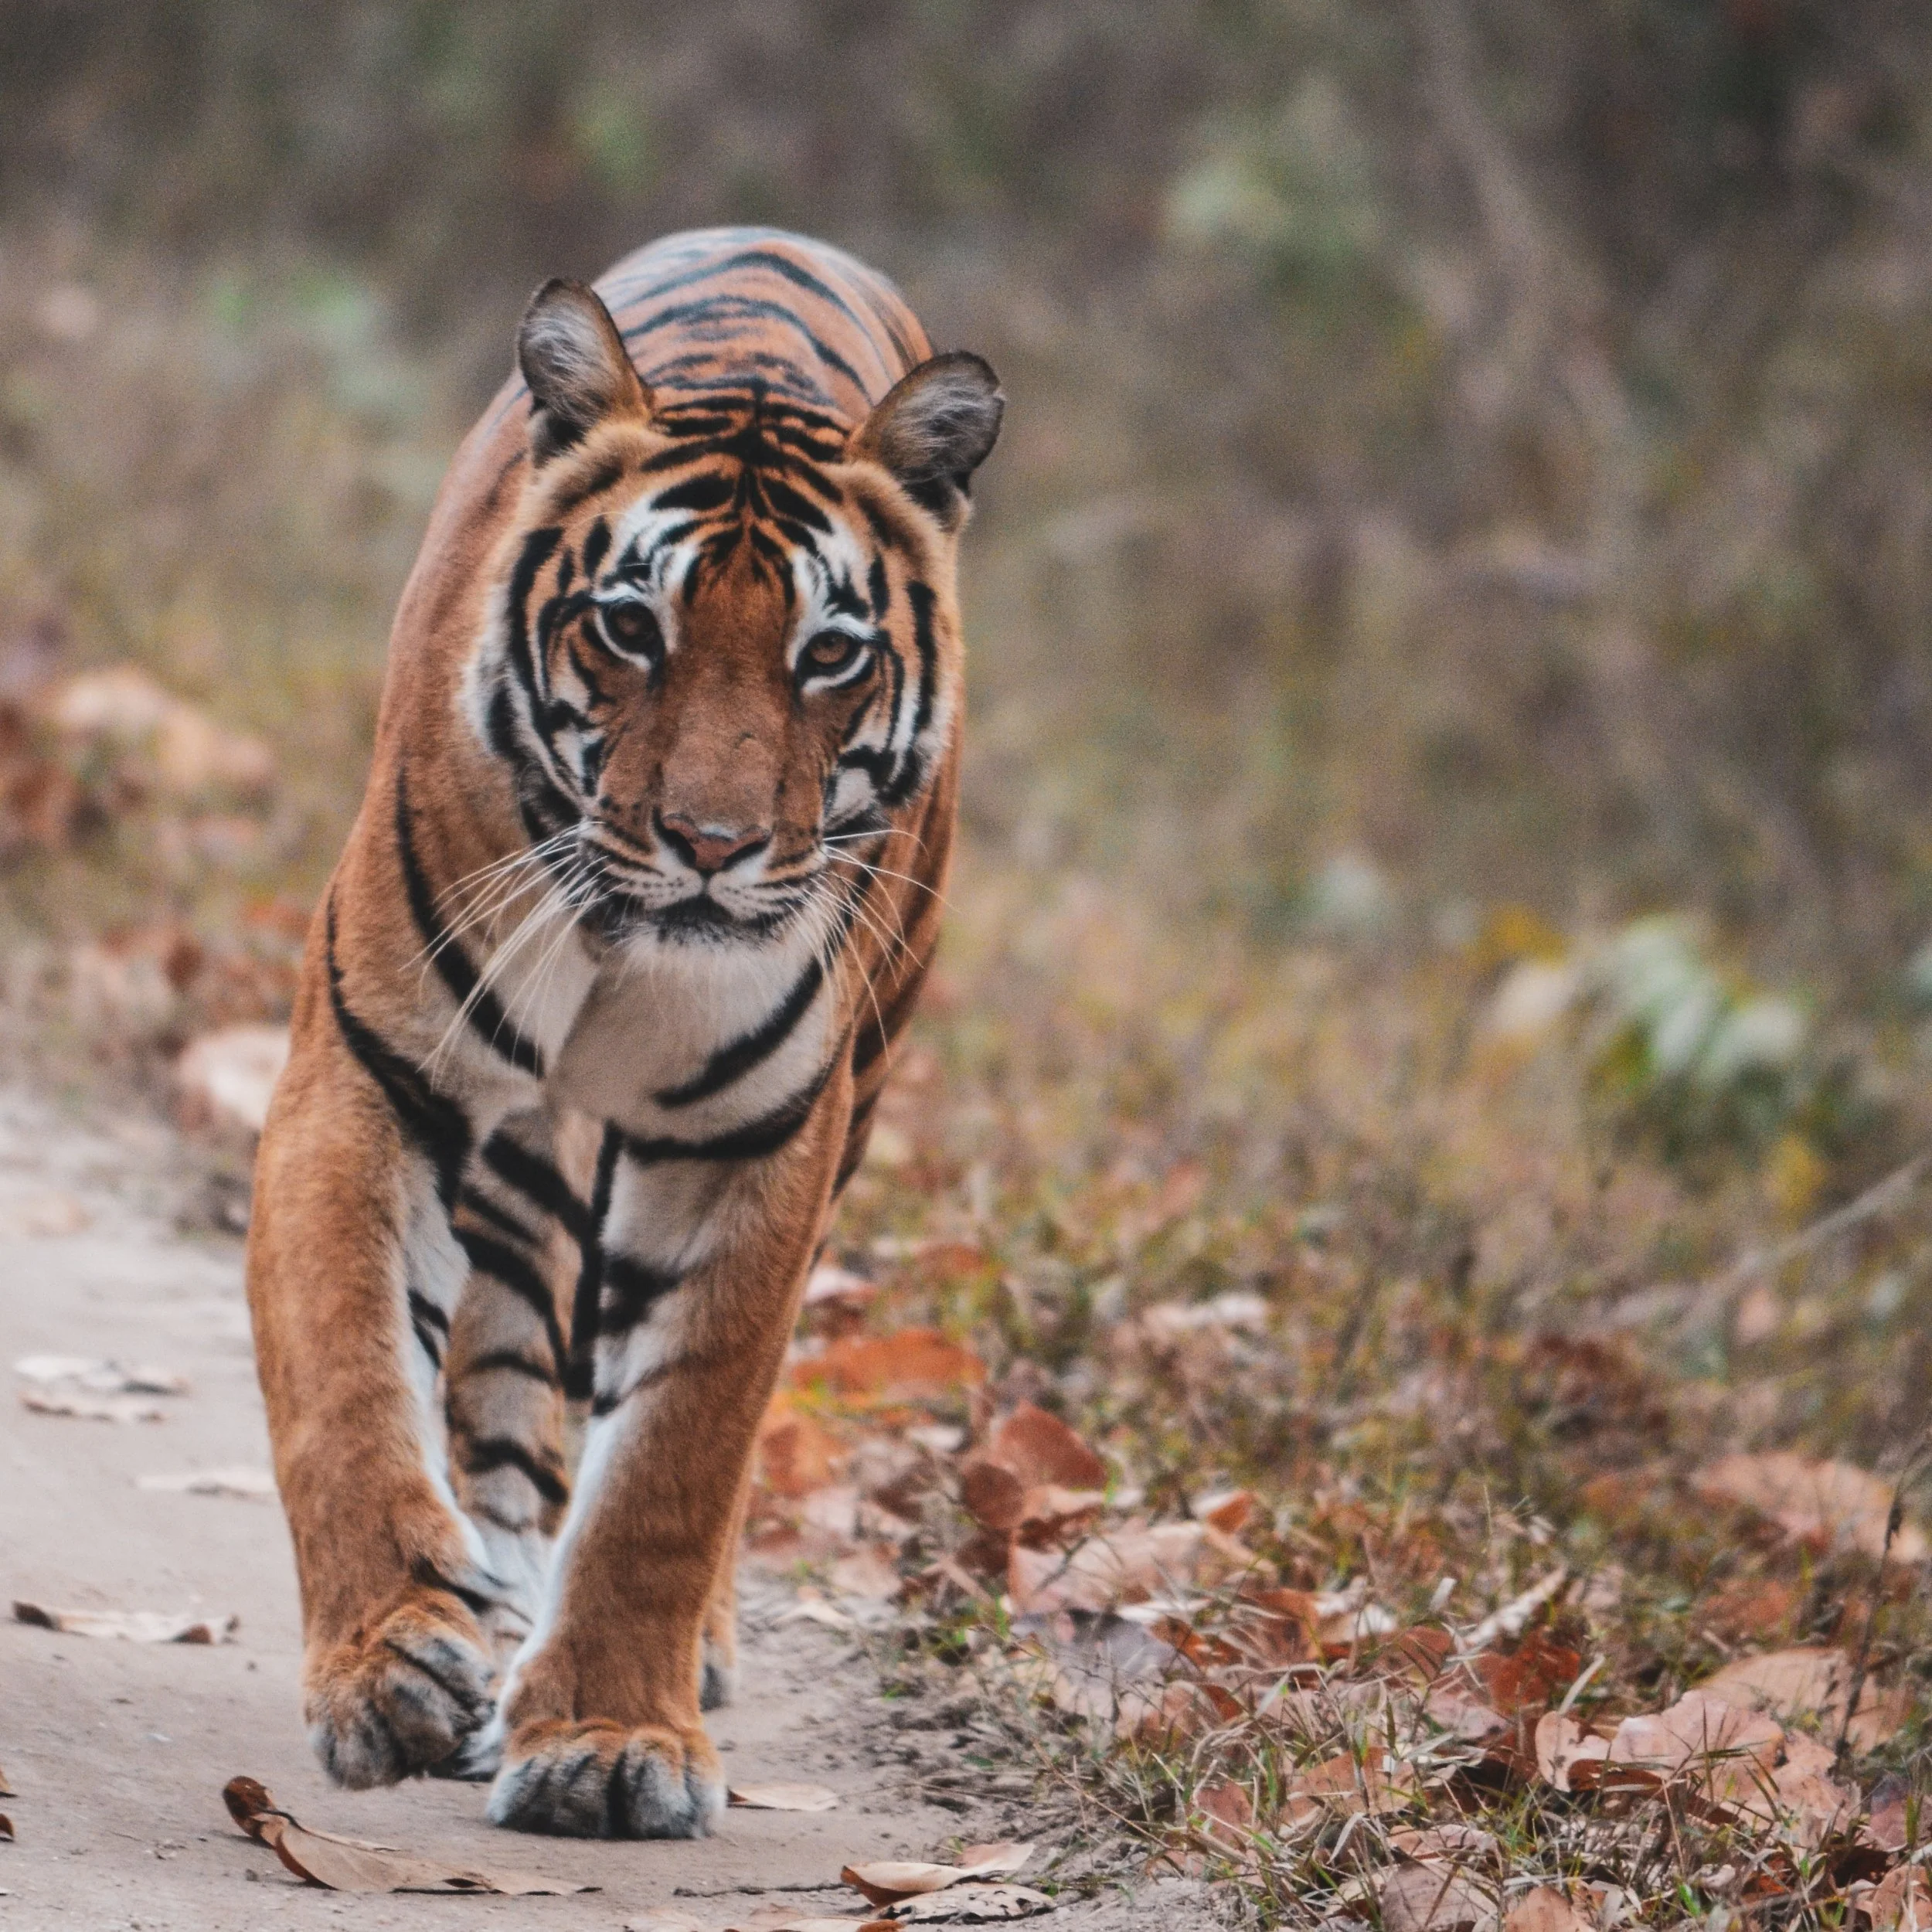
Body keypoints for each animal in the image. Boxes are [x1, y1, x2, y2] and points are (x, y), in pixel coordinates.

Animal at [244, 226, 1001, 1838]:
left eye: (828, 653)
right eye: (629, 627)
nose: (710, 846)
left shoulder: (754, 1150)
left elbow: (677, 1462)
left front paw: (608, 1741)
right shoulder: (370, 1073)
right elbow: (342, 1377)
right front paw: (394, 1667)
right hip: (526, 1152)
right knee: (508, 1394)